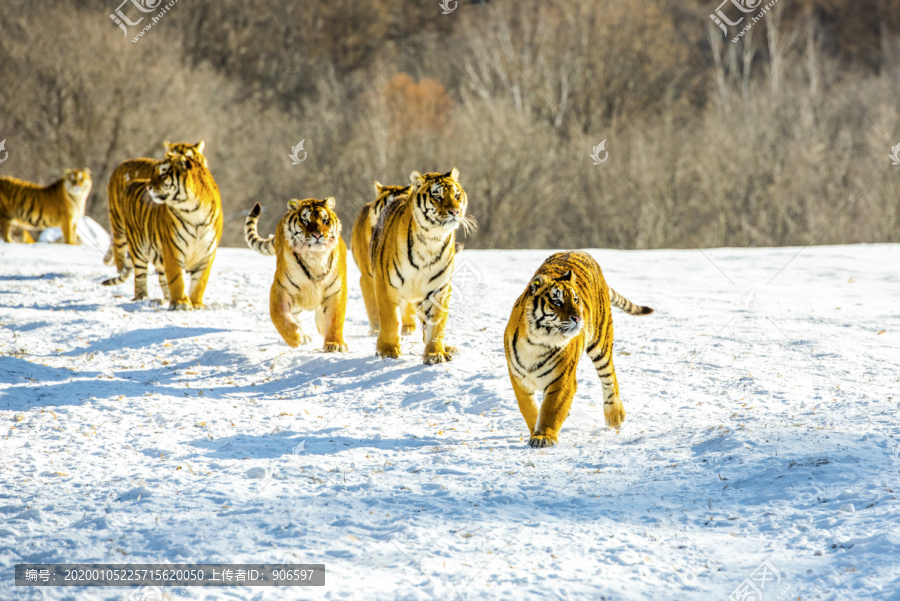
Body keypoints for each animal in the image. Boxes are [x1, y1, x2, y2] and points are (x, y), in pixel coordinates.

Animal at [100, 150, 221, 312]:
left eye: (163, 174)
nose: (149, 187)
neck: (193, 211)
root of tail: (132, 183)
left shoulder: (207, 252)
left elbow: (199, 283)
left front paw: (196, 304)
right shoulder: (172, 247)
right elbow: (177, 279)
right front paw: (181, 303)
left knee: (161, 278)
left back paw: (166, 299)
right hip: (135, 246)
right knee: (139, 277)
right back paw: (143, 298)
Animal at [244, 197, 350, 352]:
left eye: (325, 220)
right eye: (306, 221)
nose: (317, 235)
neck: (315, 257)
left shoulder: (336, 289)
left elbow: (335, 318)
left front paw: (335, 344)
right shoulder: (280, 287)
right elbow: (280, 316)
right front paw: (295, 338)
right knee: (295, 314)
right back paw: (303, 336)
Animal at [368, 169, 474, 366]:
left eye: (456, 195)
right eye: (438, 196)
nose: (455, 211)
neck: (431, 240)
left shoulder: (439, 288)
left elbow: (436, 323)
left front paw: (435, 353)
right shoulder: (386, 284)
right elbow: (390, 319)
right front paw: (388, 350)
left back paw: (447, 348)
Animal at [502, 248, 652, 446]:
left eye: (575, 299)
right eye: (557, 302)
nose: (578, 317)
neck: (537, 341)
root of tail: (579, 251)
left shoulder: (562, 380)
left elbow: (551, 410)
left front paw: (543, 437)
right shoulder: (519, 379)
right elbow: (529, 409)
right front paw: (535, 431)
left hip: (601, 343)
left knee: (609, 377)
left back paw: (615, 416)